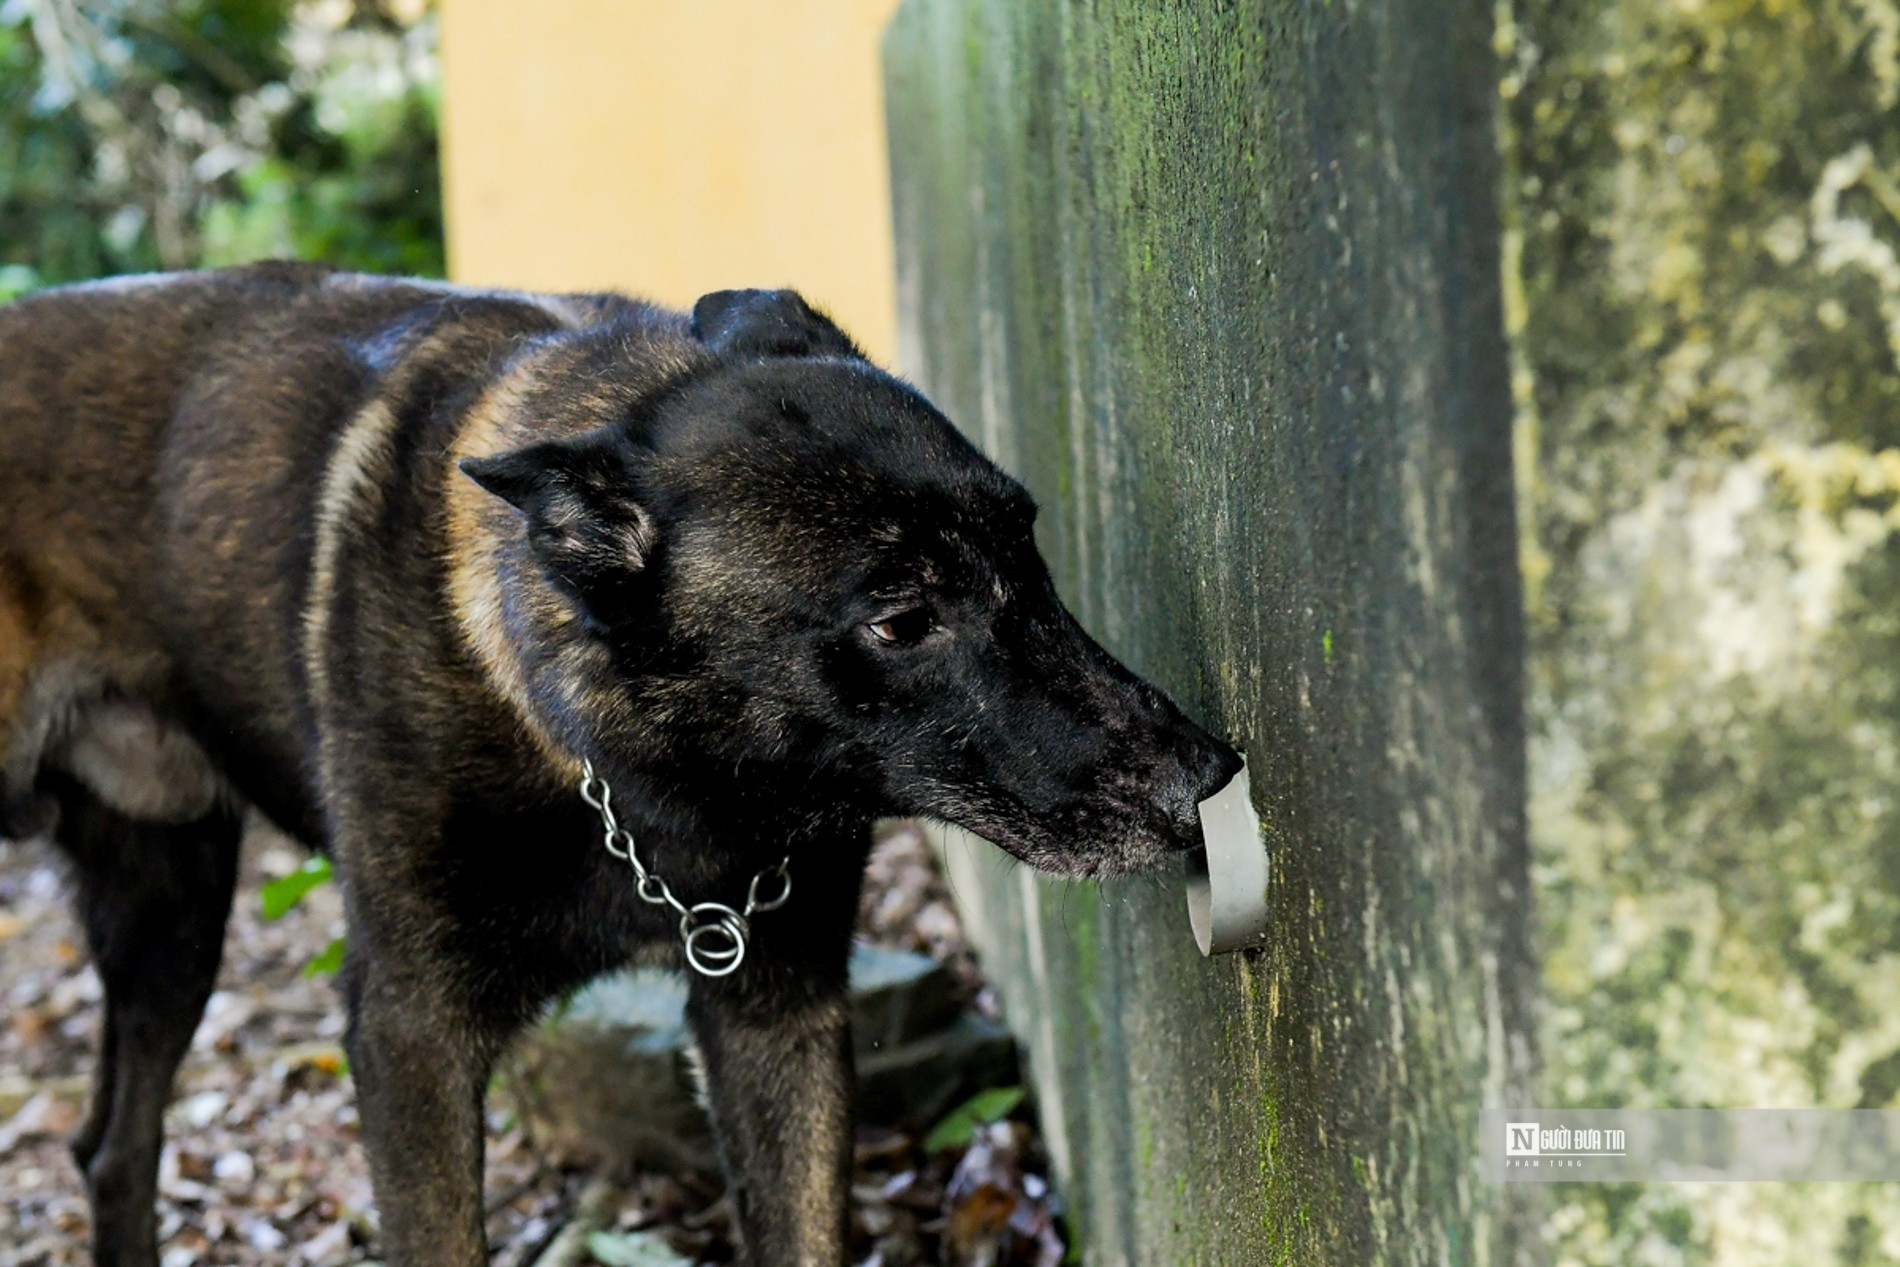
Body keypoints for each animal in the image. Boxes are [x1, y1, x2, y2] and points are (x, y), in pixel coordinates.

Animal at [0, 262, 1246, 1261]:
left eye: (1025, 545)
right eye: (901, 621)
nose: (1204, 780)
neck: (639, 782)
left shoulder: (778, 1014)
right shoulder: (411, 1034)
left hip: (169, 912)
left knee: (111, 1145)